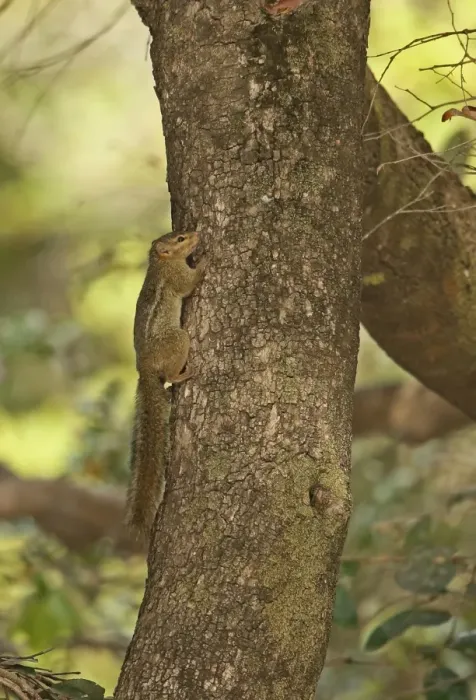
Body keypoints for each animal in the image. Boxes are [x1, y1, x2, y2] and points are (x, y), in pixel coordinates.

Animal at [126, 231, 206, 540]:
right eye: (181, 238)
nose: (197, 234)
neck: (160, 263)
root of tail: (145, 371)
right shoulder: (176, 276)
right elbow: (189, 284)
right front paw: (204, 263)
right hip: (178, 339)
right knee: (172, 372)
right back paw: (183, 375)